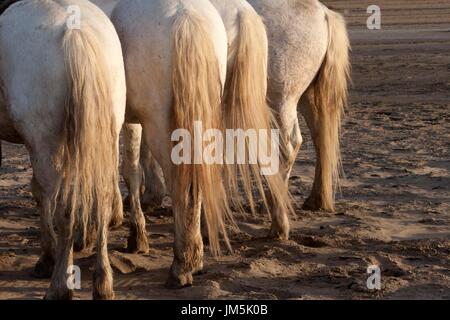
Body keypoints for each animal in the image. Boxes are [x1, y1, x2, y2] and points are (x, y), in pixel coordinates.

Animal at [0, 0, 126, 300]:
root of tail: (75, 34)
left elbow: (41, 194)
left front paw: (47, 258)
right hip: (105, 136)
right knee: (102, 199)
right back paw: (103, 283)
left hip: (47, 143)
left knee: (64, 208)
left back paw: (59, 286)